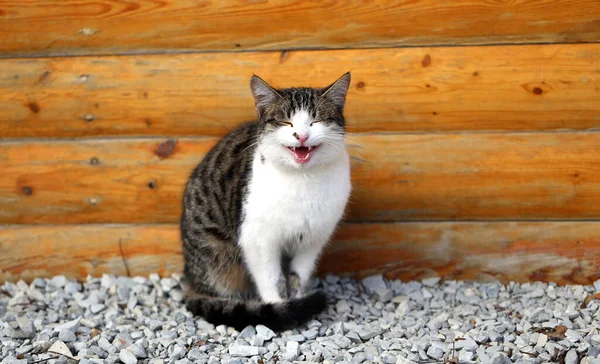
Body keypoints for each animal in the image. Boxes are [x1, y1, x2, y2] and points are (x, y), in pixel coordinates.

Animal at [182, 72, 352, 332]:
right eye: (286, 122)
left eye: (315, 121)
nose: (301, 135)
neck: (303, 181)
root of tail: (189, 277)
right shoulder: (258, 239)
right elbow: (271, 279)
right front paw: (282, 309)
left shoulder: (313, 238)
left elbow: (298, 276)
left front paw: (297, 300)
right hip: (217, 259)